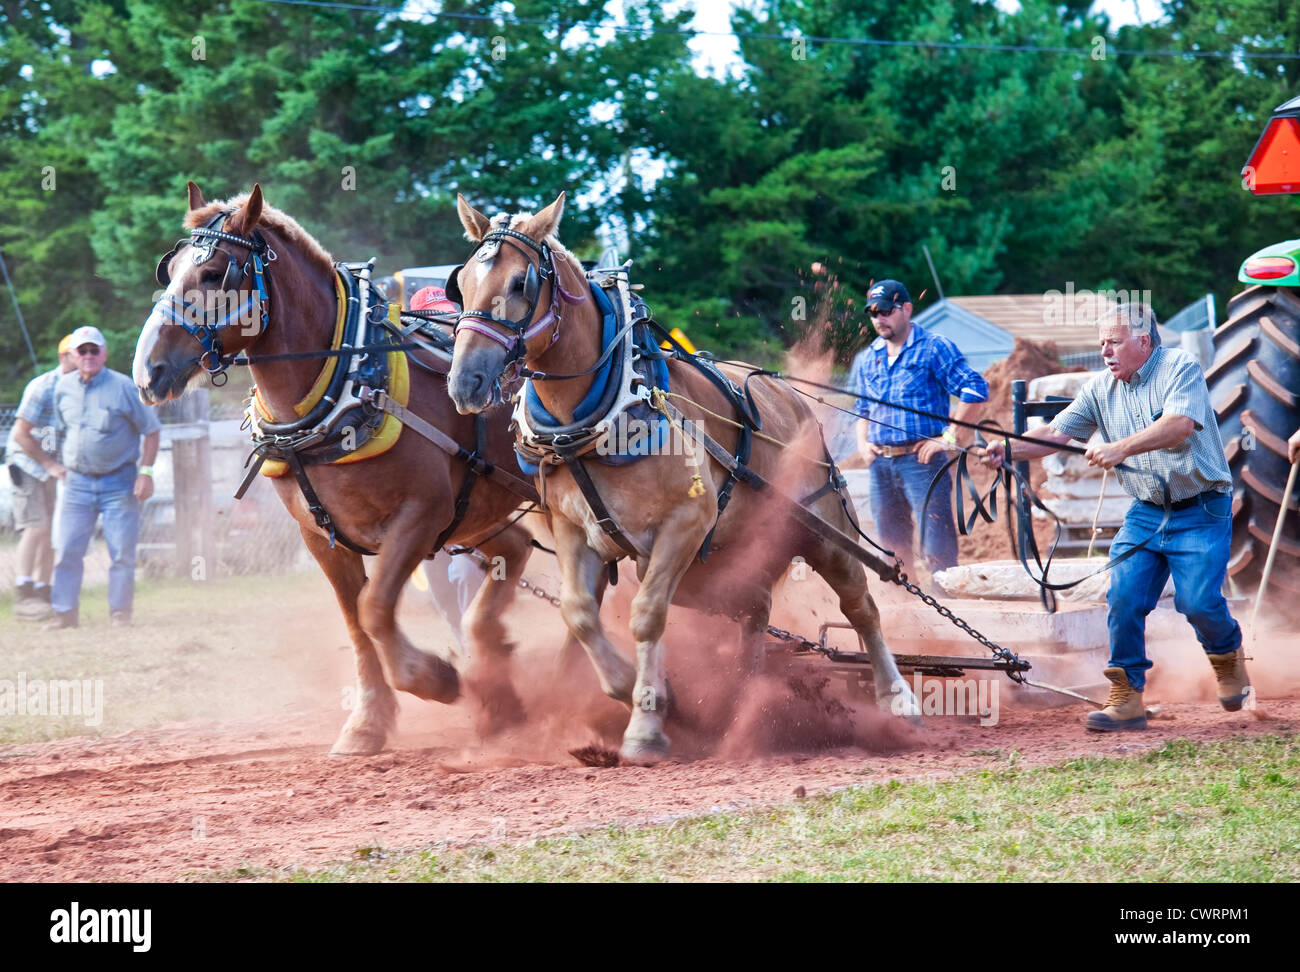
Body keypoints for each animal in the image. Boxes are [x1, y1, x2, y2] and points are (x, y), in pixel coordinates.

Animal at [137, 184, 548, 758]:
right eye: (169, 269)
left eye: (216, 273)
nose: (147, 370)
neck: (348, 387)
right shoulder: (321, 536)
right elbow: (356, 622)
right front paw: (367, 724)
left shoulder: (420, 517)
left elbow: (376, 609)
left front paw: (435, 679)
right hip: (480, 511)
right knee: (513, 550)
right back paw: (498, 682)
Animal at [447, 192, 925, 769]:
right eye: (460, 282)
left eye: (521, 283)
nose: (465, 381)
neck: (602, 415)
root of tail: (791, 398)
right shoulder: (572, 530)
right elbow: (579, 613)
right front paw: (632, 687)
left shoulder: (683, 523)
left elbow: (647, 615)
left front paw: (646, 726)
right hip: (712, 567)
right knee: (754, 608)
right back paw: (740, 698)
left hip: (820, 529)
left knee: (861, 606)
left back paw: (897, 700)